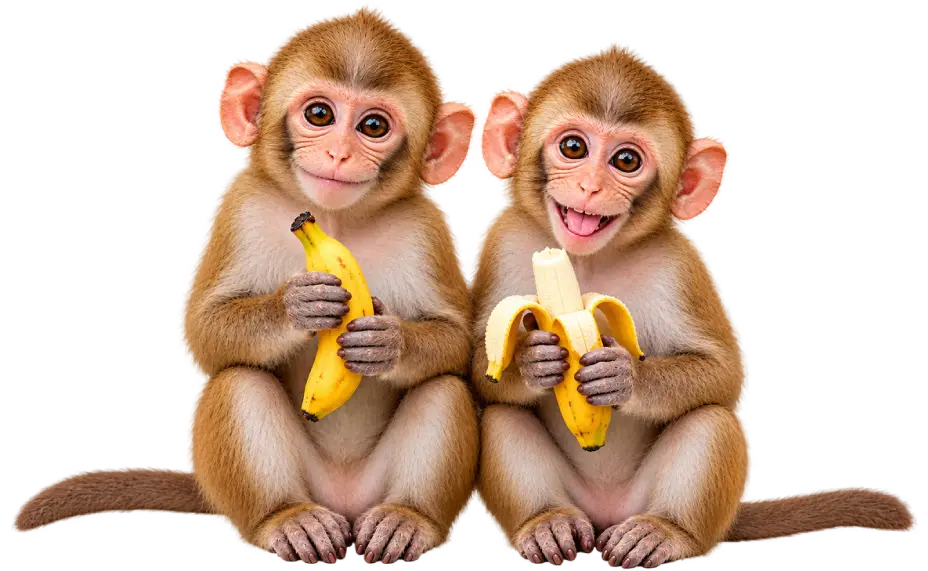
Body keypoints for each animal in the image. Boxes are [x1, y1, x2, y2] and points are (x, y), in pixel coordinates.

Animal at [11, 3, 480, 566]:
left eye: (373, 126)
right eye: (319, 115)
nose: (340, 154)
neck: (333, 220)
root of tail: (343, 501)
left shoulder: (428, 227)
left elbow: (457, 347)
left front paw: (388, 341)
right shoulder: (238, 207)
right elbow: (204, 338)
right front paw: (296, 307)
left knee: (442, 387)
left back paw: (407, 517)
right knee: (240, 380)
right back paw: (286, 517)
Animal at [468, 41, 918, 569]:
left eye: (625, 160)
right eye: (573, 148)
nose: (590, 188)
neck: (587, 262)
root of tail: (604, 513)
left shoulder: (681, 265)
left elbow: (725, 378)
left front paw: (626, 376)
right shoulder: (501, 243)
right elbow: (482, 374)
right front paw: (531, 360)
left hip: (652, 505)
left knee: (711, 421)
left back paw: (666, 531)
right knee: (501, 417)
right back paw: (545, 521)